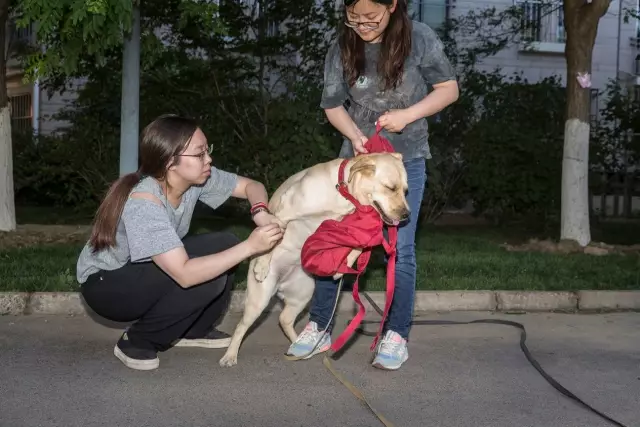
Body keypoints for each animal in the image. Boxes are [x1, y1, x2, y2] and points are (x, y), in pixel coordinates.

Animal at [220, 152, 410, 366]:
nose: (407, 215)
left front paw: (342, 267)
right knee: (241, 327)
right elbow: (274, 232)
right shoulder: (285, 211)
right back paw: (230, 355)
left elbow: (356, 248)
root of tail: (281, 283)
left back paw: (303, 346)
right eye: (390, 187)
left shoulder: (345, 229)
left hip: (303, 295)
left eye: (405, 191)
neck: (342, 192)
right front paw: (262, 264)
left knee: (284, 319)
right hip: (259, 300)